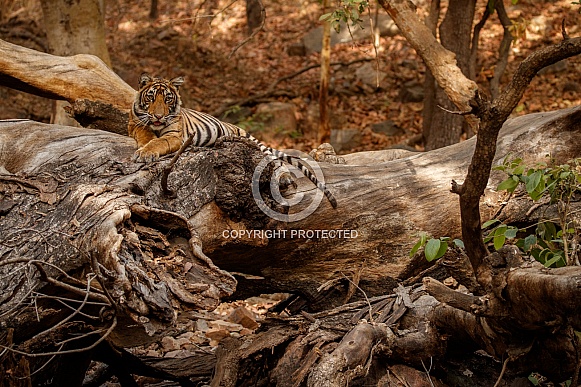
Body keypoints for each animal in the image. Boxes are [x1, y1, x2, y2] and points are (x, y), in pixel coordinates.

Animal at [127, 74, 336, 211]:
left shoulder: (174, 135)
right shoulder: (134, 124)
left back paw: (284, 178)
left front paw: (146, 152)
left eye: (167, 99)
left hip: (252, 141)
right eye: (151, 97)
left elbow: (159, 141)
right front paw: (144, 148)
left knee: (273, 160)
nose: (158, 116)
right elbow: (146, 134)